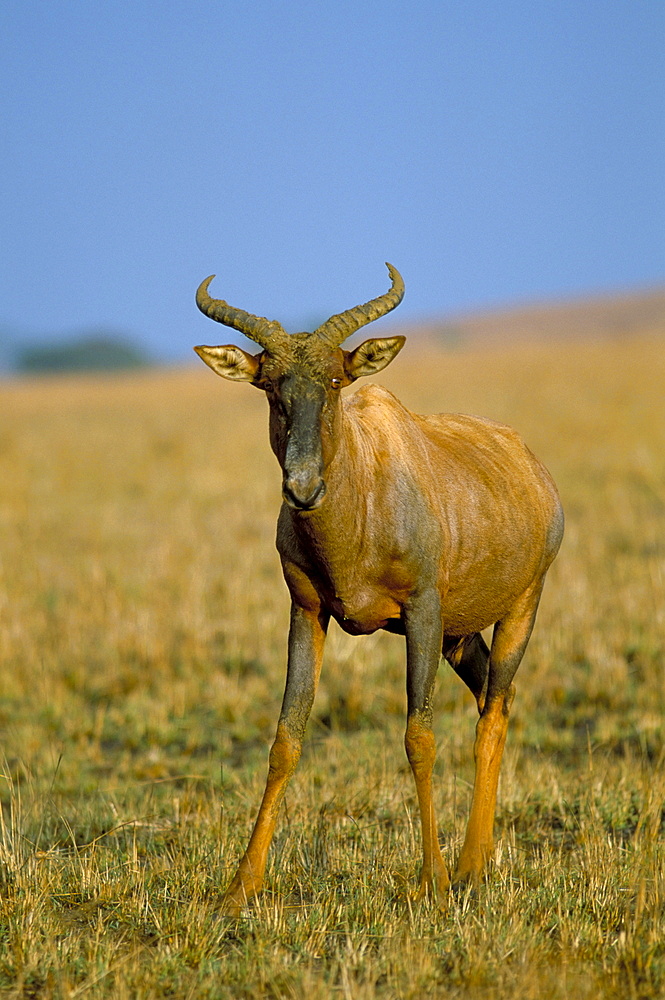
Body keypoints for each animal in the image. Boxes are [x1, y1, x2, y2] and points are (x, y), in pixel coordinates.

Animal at [195, 264, 564, 916]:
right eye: (270, 387)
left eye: (336, 381)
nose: (303, 488)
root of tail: (532, 466)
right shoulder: (306, 610)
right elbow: (286, 738)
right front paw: (241, 886)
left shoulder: (421, 613)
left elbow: (420, 736)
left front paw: (432, 882)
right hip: (459, 635)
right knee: (494, 699)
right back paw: (479, 861)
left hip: (521, 605)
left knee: (492, 712)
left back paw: (467, 869)